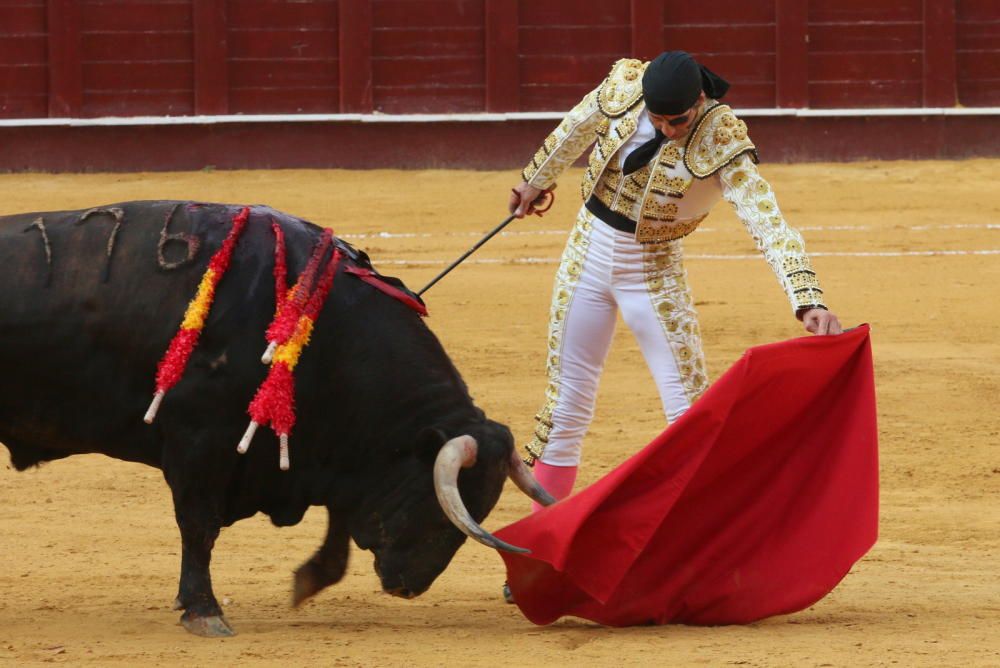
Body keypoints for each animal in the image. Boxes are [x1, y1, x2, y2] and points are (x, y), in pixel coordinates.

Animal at [0, 202, 552, 636]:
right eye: (439, 503)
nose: (409, 585)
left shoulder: (326, 453)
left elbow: (337, 522)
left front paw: (306, 582)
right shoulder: (199, 443)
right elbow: (198, 526)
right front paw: (203, 611)